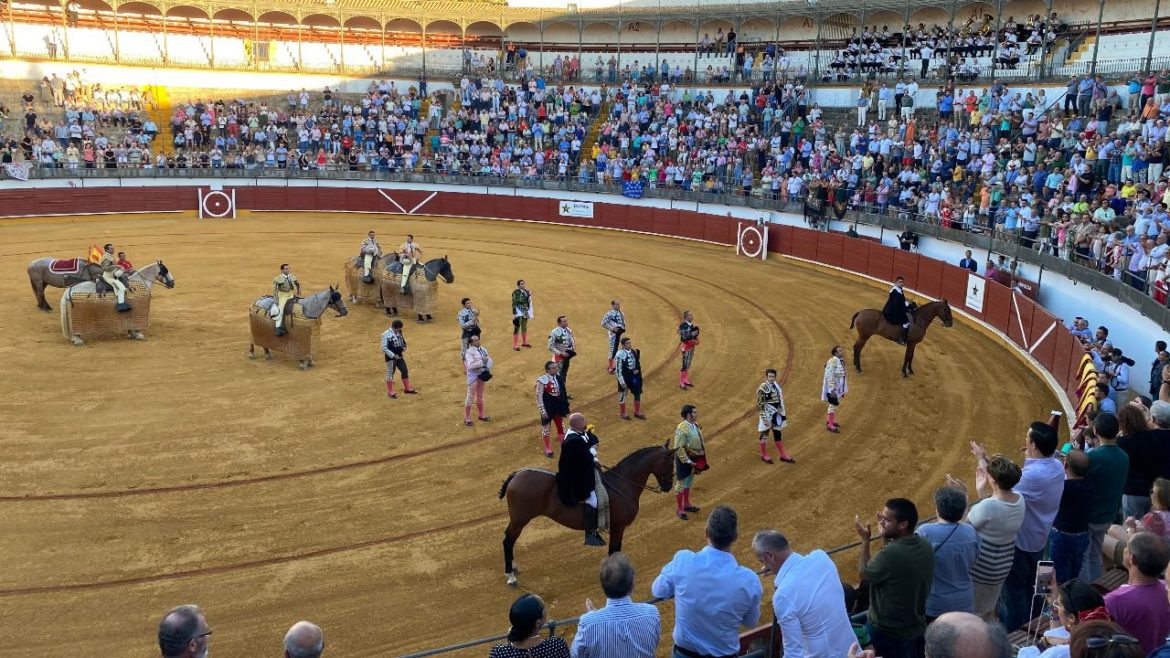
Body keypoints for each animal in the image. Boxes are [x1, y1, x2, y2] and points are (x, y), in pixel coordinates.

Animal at [496, 442, 678, 585]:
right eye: (670, 463)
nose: (668, 486)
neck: (622, 483)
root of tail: (517, 474)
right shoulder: (618, 527)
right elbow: (614, 550)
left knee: (510, 540)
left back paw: (513, 568)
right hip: (520, 520)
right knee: (508, 540)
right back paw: (510, 574)